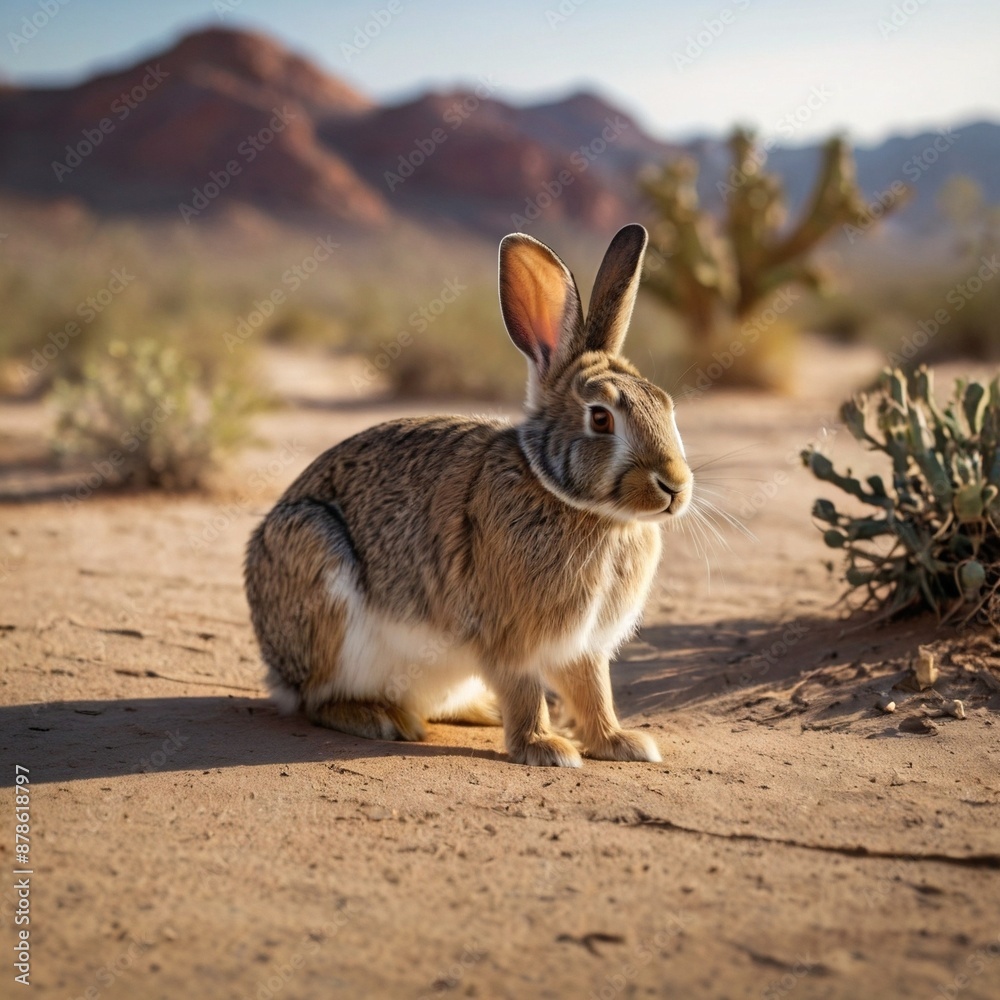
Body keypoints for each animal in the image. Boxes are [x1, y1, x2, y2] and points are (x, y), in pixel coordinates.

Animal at [244, 223, 693, 767]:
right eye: (601, 418)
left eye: (665, 405)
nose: (675, 486)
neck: (581, 507)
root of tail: (276, 668)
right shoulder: (509, 638)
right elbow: (525, 689)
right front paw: (545, 748)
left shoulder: (584, 648)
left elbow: (594, 692)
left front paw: (621, 743)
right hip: (318, 564)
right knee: (316, 698)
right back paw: (382, 719)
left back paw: (480, 713)